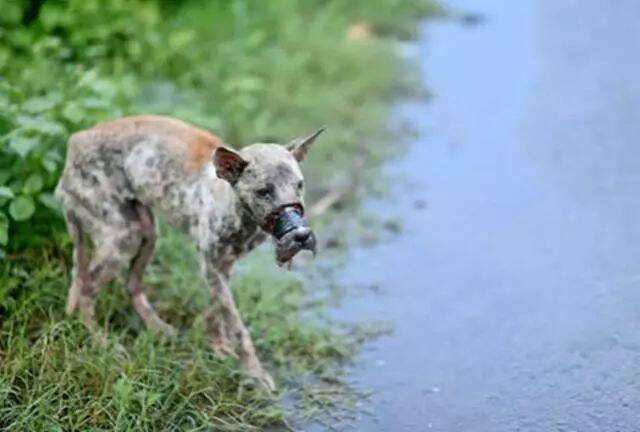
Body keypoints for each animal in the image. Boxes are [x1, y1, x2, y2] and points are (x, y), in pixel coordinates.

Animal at [53, 115, 324, 388]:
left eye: (299, 186)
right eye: (264, 191)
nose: (301, 236)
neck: (235, 206)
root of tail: (74, 142)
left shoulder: (222, 267)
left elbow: (216, 310)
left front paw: (218, 348)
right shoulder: (211, 266)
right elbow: (237, 326)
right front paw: (254, 373)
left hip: (147, 232)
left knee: (129, 285)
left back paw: (158, 328)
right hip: (123, 238)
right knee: (86, 288)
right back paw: (101, 341)